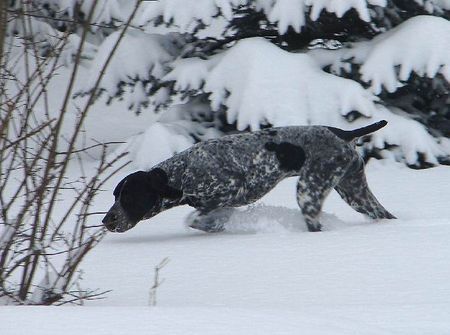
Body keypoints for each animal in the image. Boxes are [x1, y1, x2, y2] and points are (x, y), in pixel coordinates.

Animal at [102, 121, 394, 234]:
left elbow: (196, 219)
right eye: (115, 195)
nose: (107, 220)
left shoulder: (230, 191)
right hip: (356, 192)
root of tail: (343, 134)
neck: (180, 175)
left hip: (308, 191)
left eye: (129, 196)